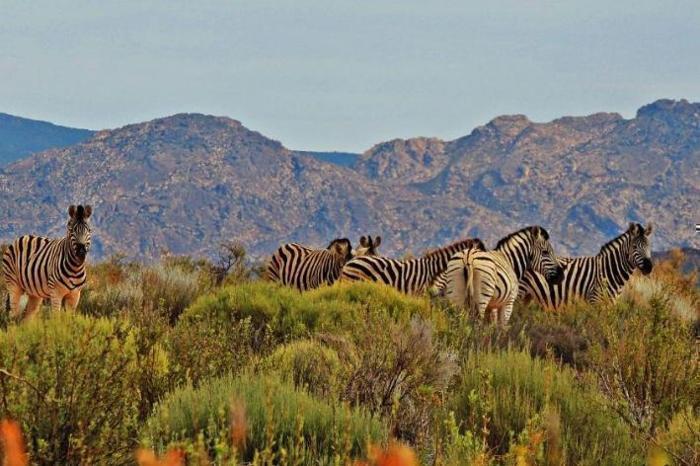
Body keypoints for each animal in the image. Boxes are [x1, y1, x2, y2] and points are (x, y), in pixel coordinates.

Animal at [516, 223, 652, 310]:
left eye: (648, 246)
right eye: (634, 247)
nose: (649, 267)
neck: (609, 270)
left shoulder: (610, 304)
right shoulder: (594, 301)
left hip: (527, 296)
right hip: (519, 292)